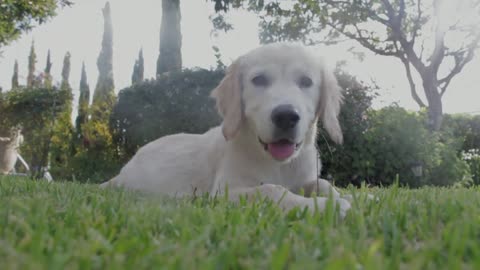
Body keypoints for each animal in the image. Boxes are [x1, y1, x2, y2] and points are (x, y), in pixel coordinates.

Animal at [102, 43, 352, 218]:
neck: (277, 163)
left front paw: (345, 196)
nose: (286, 116)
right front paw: (325, 206)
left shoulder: (304, 177)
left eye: (306, 81)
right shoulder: (224, 192)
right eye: (259, 80)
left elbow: (323, 183)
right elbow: (270, 190)